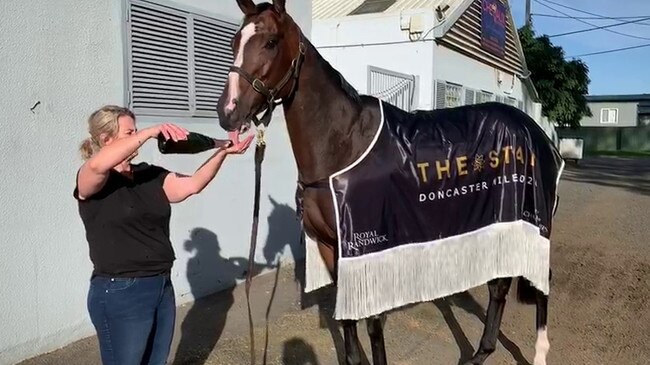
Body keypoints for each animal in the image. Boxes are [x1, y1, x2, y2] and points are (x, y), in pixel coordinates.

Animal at [216, 1, 556, 362]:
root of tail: (536, 132)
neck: (345, 144)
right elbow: (347, 320)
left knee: (538, 280)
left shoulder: (368, 249)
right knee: (499, 284)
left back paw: (537, 354)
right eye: (234, 42)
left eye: (271, 42)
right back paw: (481, 352)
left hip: (533, 222)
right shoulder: (332, 248)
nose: (227, 112)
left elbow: (373, 325)